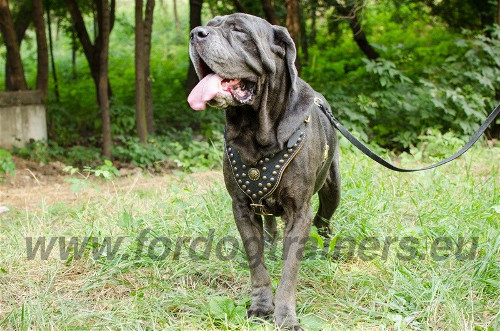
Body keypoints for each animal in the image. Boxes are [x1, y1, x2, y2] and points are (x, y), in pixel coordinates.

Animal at [187, 12, 340, 330]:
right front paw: (260, 305)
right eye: (210, 22)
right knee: (270, 227)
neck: (256, 132)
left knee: (324, 221)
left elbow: (289, 270)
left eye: (240, 31)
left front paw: (285, 315)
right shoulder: (242, 208)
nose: (196, 33)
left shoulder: (300, 211)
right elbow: (256, 261)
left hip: (333, 188)